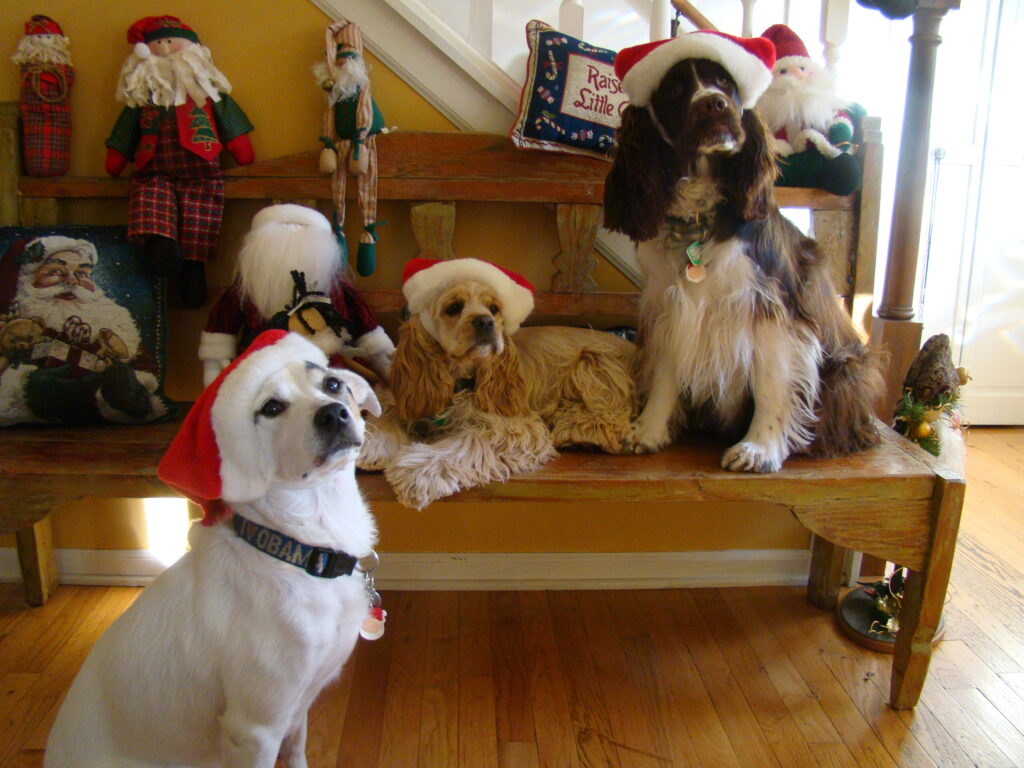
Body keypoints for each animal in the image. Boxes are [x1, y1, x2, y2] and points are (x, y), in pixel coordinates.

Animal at [44, 331, 385, 768]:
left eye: (332, 384)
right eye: (271, 408)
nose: (334, 414)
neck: (299, 549)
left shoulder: (296, 708)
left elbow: (297, 753)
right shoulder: (255, 729)